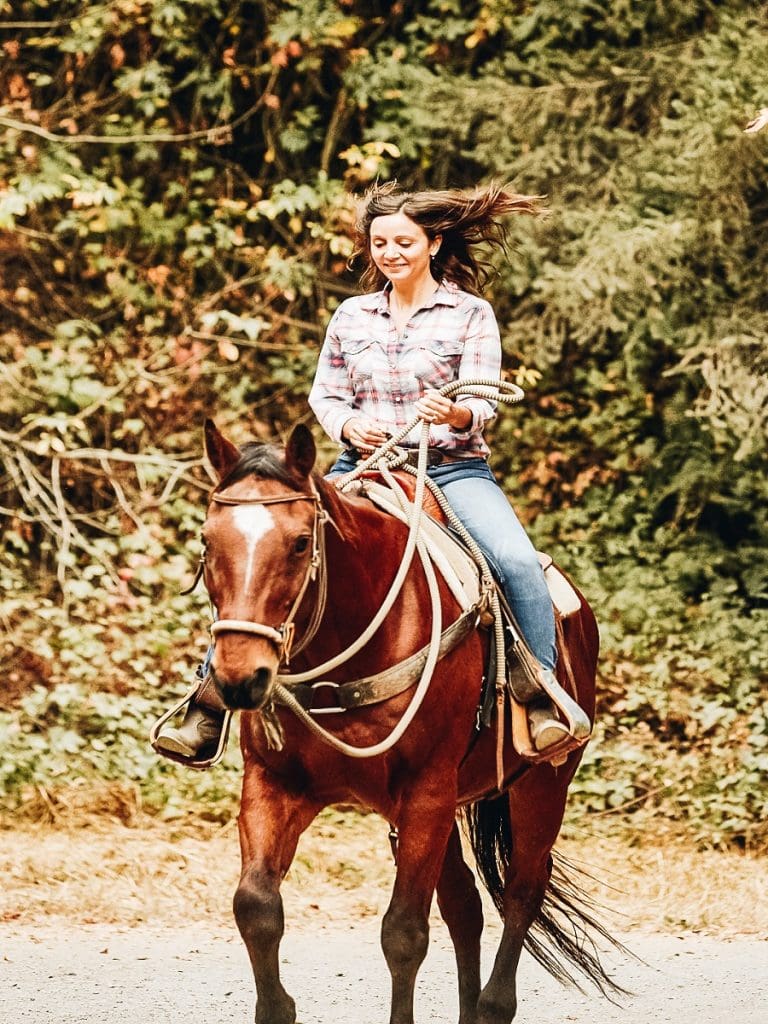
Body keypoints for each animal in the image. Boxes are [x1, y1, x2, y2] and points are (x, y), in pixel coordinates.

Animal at [199, 417, 618, 1024]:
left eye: (300, 543)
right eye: (207, 543)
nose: (238, 676)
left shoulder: (426, 794)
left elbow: (403, 934)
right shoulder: (274, 784)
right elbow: (256, 907)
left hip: (540, 786)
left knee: (522, 894)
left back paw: (493, 1004)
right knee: (466, 905)